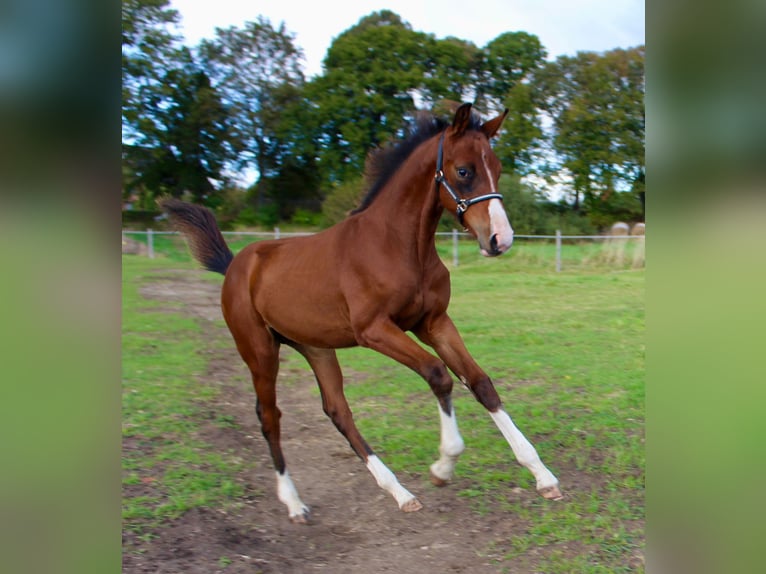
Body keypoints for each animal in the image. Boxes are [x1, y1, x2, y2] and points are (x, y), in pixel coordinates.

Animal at [164, 103, 564, 528]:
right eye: (463, 171)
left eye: (498, 168)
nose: (500, 240)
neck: (398, 244)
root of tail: (234, 265)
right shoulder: (374, 330)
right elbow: (438, 374)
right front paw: (443, 466)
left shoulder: (434, 322)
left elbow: (480, 382)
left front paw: (543, 476)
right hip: (259, 350)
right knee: (269, 415)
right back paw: (294, 503)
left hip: (316, 347)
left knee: (337, 410)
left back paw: (400, 493)